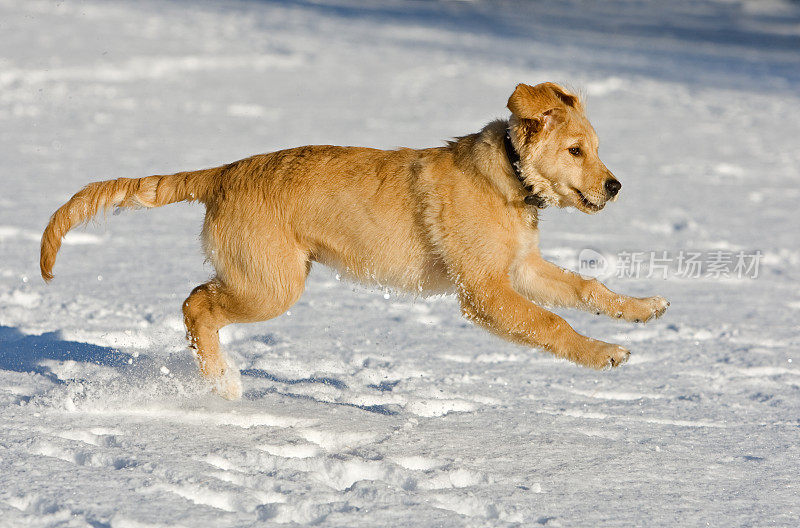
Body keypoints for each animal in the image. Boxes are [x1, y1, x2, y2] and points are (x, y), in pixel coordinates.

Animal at [42, 80, 668, 398]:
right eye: (575, 151)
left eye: (597, 146)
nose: (615, 186)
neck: (509, 176)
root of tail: (222, 174)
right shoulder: (485, 291)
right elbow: (551, 324)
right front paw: (603, 353)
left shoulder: (520, 269)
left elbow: (586, 289)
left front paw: (640, 308)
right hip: (271, 284)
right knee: (196, 304)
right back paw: (221, 383)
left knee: (198, 300)